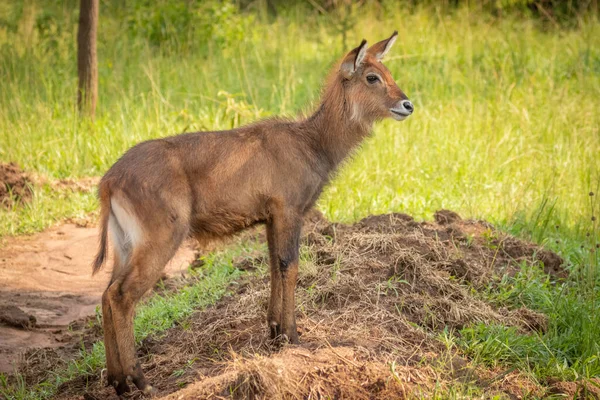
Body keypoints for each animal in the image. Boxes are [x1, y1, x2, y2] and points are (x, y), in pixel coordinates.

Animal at [94, 32, 412, 396]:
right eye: (372, 77)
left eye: (388, 71)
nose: (408, 105)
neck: (312, 142)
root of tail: (109, 180)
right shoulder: (289, 211)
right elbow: (291, 266)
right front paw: (292, 336)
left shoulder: (271, 218)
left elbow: (274, 267)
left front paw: (274, 331)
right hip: (159, 240)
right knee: (121, 296)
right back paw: (140, 381)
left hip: (124, 245)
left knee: (106, 293)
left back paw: (117, 381)